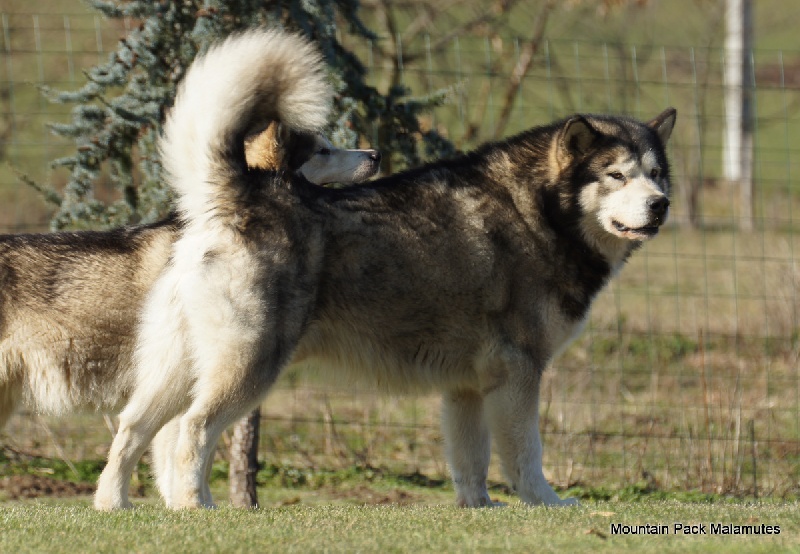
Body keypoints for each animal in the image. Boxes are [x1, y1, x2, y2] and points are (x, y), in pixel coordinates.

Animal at [87, 28, 680, 506]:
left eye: (655, 174)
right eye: (616, 176)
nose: (661, 206)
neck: (539, 212)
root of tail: (240, 195)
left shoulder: (465, 388)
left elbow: (471, 464)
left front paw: (480, 511)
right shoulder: (518, 374)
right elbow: (526, 456)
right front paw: (547, 504)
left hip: (177, 367)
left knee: (135, 429)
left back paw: (116, 505)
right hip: (248, 364)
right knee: (190, 431)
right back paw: (196, 507)